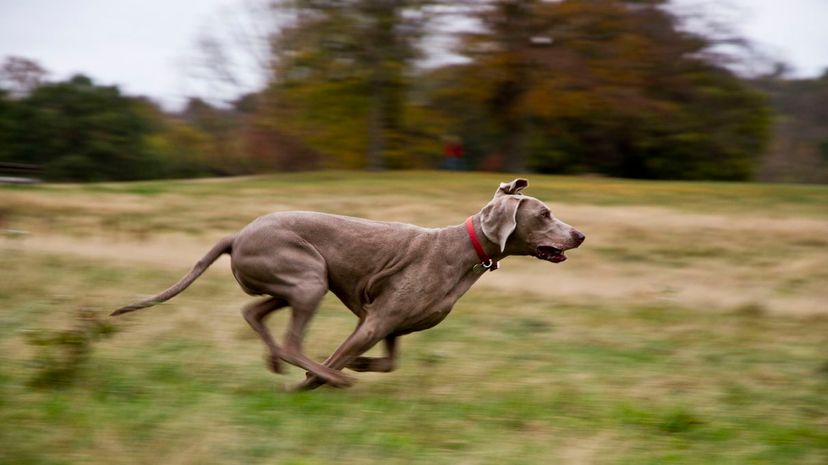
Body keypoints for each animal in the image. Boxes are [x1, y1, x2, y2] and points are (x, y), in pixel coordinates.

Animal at [113, 179, 584, 390]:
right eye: (544, 214)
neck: (462, 250)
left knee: (252, 312)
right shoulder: (375, 321)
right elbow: (339, 357)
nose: (580, 235)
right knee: (292, 342)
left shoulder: (387, 324)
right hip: (308, 278)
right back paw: (323, 377)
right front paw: (317, 382)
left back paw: (277, 363)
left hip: (297, 282)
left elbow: (388, 362)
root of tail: (236, 236)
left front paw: (358, 365)